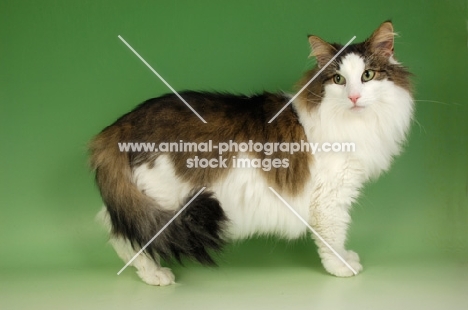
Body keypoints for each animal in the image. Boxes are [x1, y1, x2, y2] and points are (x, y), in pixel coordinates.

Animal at [90, 21, 414, 286]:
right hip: (163, 199)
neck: (353, 123)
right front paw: (341, 266)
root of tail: (121, 123)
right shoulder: (330, 198)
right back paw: (154, 274)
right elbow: (334, 236)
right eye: (338, 80)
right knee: (129, 235)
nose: (354, 97)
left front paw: (346, 258)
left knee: (115, 226)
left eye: (367, 75)